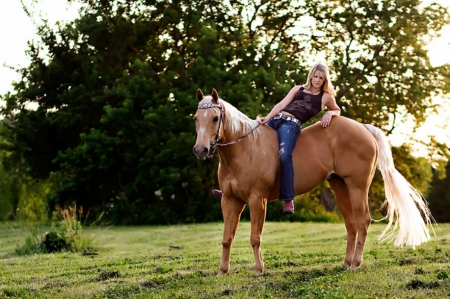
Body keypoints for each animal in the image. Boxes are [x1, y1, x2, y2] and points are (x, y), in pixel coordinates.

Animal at [192, 88, 432, 276]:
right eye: (196, 118)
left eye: (215, 118)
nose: (200, 150)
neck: (246, 147)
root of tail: (364, 128)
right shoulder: (229, 201)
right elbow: (227, 238)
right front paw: (222, 271)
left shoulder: (257, 199)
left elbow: (254, 237)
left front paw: (259, 269)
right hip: (340, 186)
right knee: (351, 224)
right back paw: (346, 263)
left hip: (357, 186)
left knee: (363, 221)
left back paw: (356, 263)